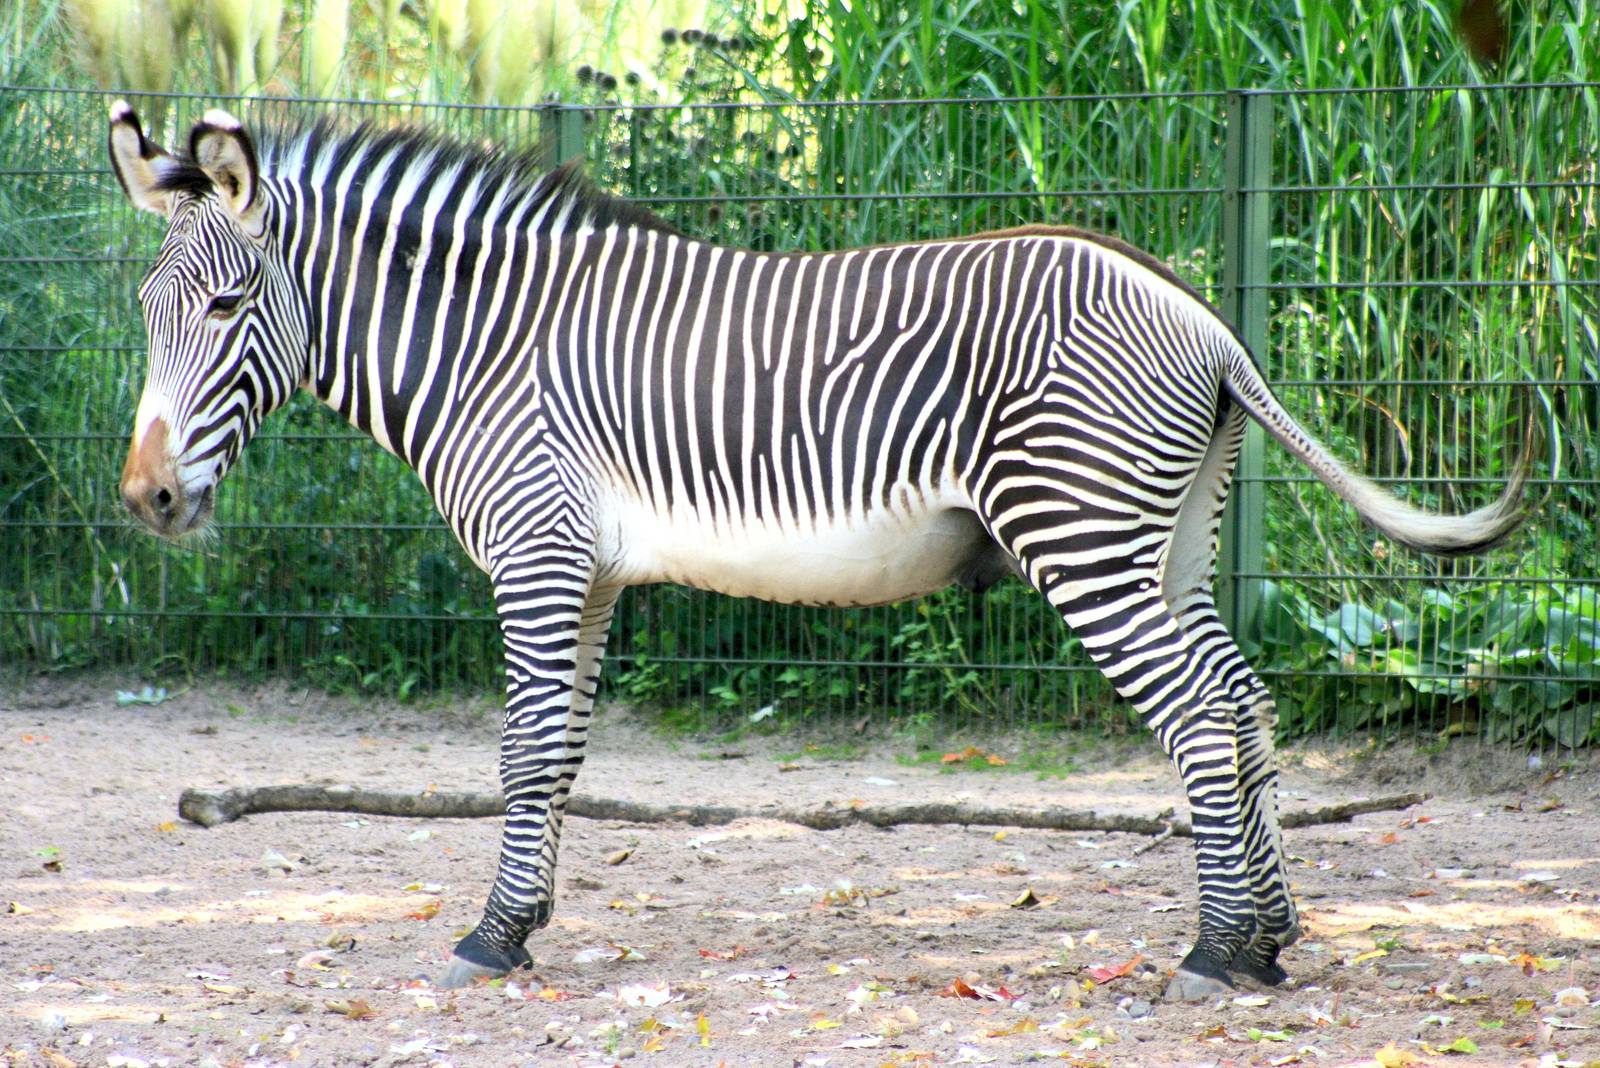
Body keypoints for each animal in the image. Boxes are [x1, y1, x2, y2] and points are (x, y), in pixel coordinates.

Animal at [109, 103, 1524, 999]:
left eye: (227, 306)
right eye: (145, 311)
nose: (147, 500)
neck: (484, 348)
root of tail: (1200, 312)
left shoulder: (538, 551)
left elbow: (518, 752)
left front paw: (487, 935)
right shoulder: (592, 568)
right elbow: (559, 756)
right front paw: (523, 928)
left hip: (1081, 532)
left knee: (1189, 714)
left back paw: (1216, 951)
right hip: (1167, 535)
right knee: (1237, 697)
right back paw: (1273, 939)